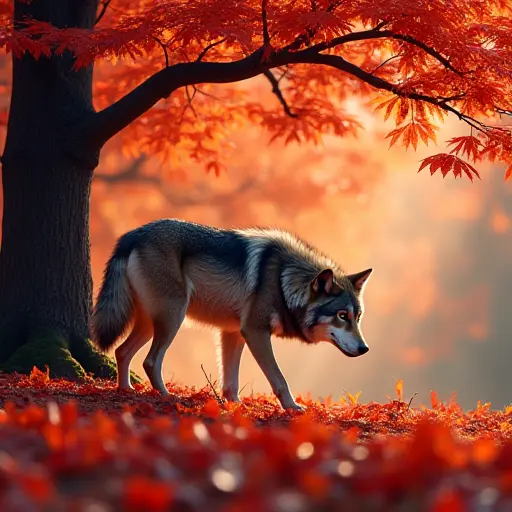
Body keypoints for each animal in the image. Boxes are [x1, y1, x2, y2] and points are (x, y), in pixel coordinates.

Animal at [91, 218, 372, 410]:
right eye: (342, 316)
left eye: (357, 317)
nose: (365, 349)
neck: (283, 280)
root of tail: (132, 234)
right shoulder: (255, 332)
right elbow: (279, 378)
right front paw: (292, 408)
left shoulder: (232, 332)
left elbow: (230, 381)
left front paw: (234, 406)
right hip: (172, 318)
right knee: (150, 361)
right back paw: (167, 397)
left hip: (152, 322)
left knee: (122, 351)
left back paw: (126, 391)